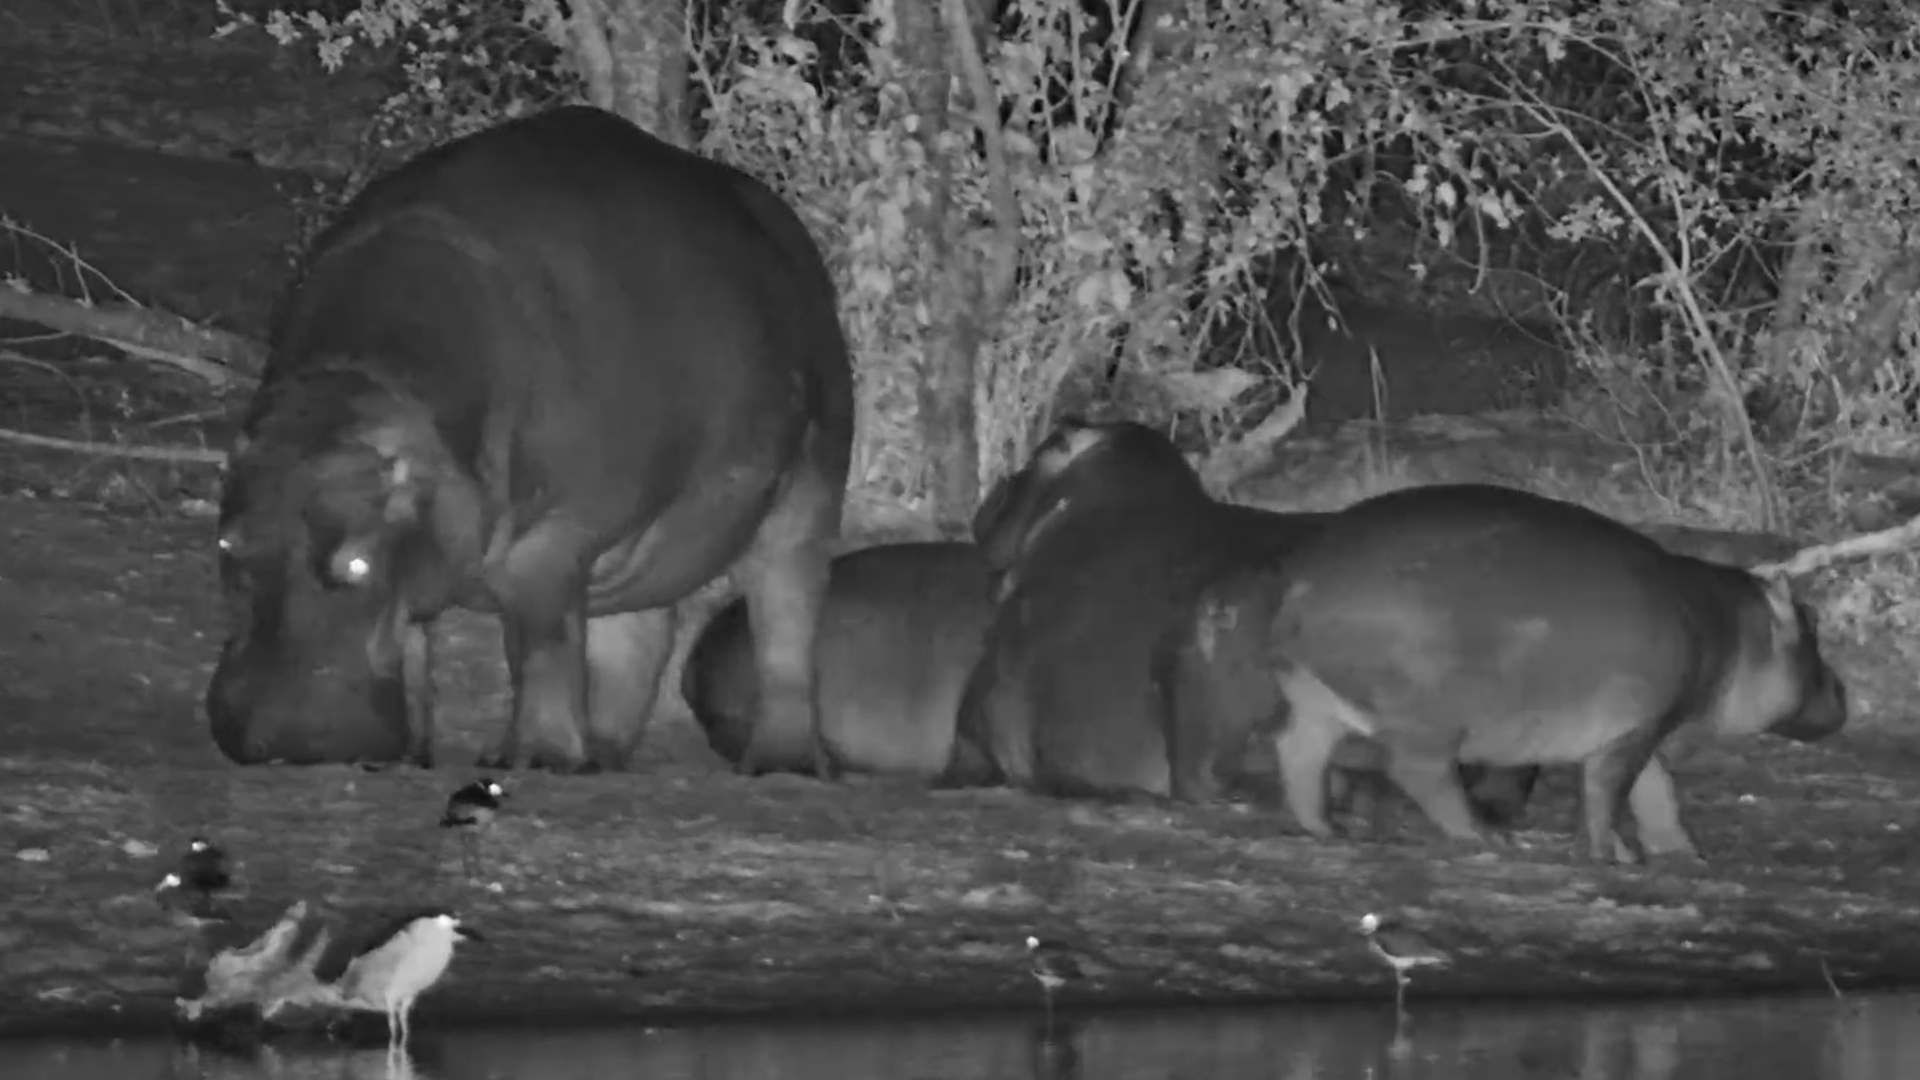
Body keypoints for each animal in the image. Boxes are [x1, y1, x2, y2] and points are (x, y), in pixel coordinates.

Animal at [205, 105, 854, 774]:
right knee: (639, 636)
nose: (276, 740)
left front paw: (535, 759)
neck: (365, 383)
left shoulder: (552, 540)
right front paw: (420, 757)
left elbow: (541, 648)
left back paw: (781, 761)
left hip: (809, 486)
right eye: (227, 544)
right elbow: (415, 652)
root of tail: (782, 222)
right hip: (645, 543)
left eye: (357, 561)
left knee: (786, 618)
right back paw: (602, 757)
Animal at [1208, 482, 1847, 862]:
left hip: (1314, 696)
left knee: (1300, 752)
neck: (1729, 628)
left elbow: (1655, 790)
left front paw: (1679, 852)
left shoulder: (1641, 728)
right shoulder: (1636, 730)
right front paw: (1613, 855)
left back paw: (1325, 829)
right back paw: (1487, 835)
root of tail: (1300, 575)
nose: (1845, 692)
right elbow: (1608, 794)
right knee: (1419, 773)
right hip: (1429, 718)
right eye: (1812, 628)